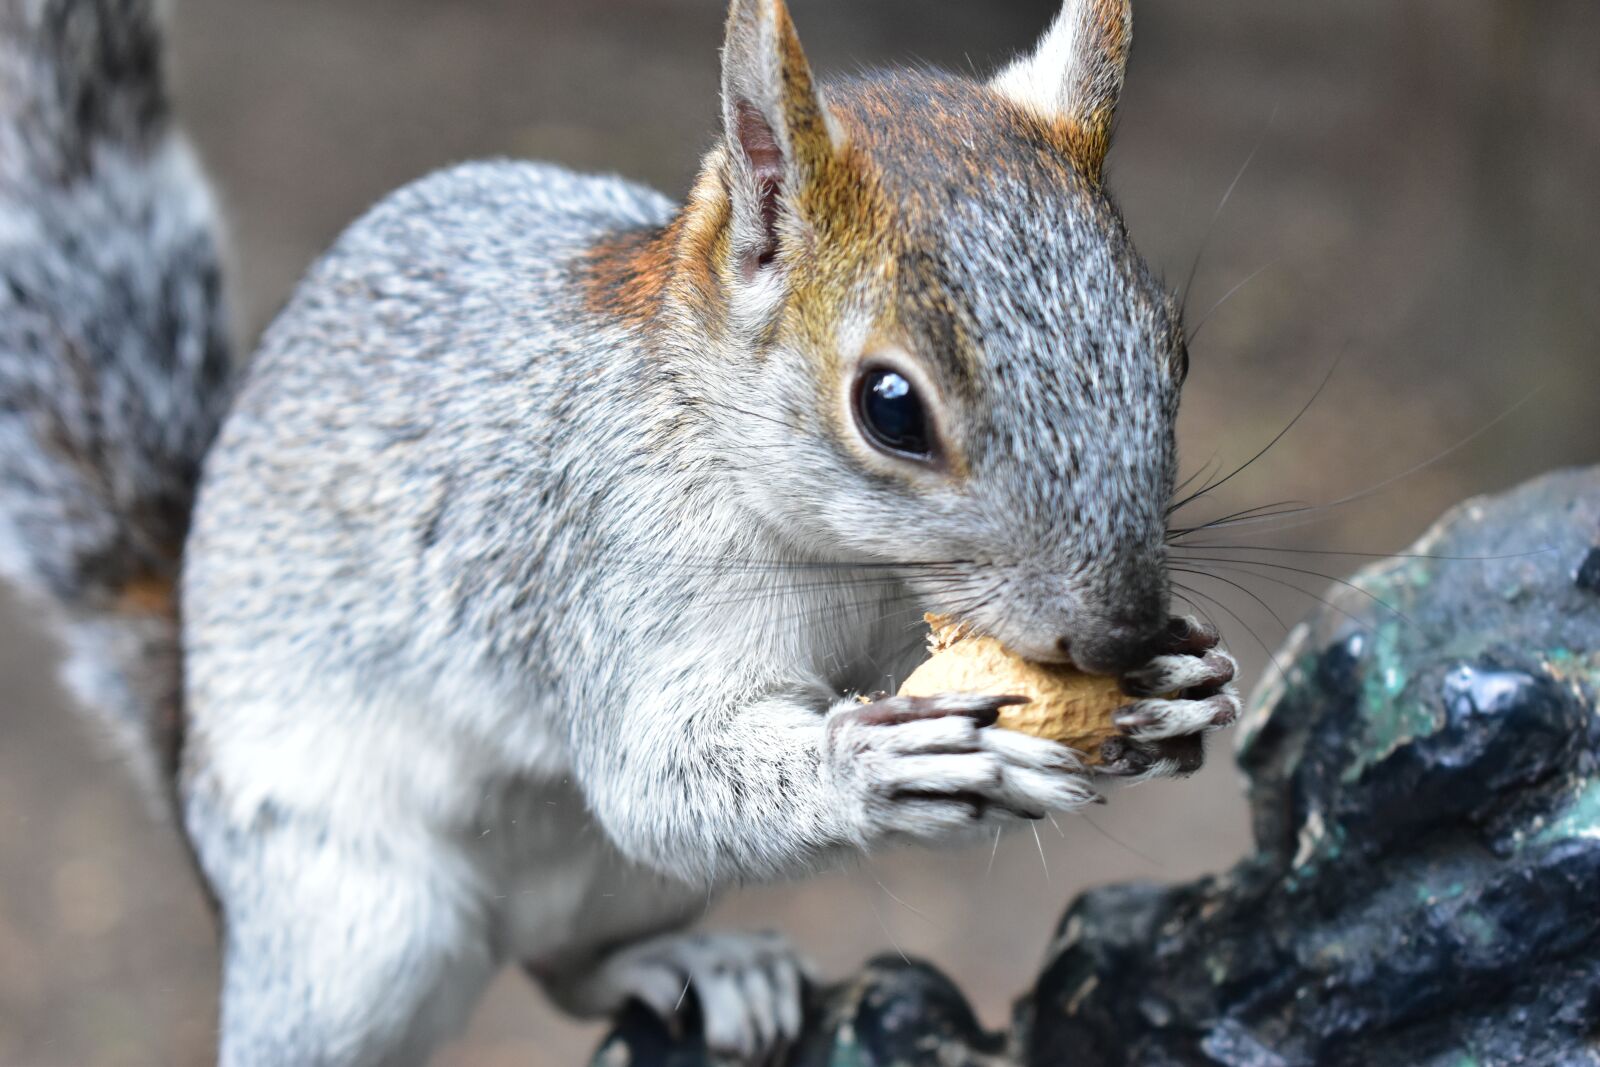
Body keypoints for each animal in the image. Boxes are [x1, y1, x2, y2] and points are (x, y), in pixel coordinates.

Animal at [0, 0, 1243, 1062]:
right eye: (889, 407)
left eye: (1173, 349)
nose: (1119, 630)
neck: (847, 563)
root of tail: (184, 743)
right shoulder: (608, 569)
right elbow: (656, 773)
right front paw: (876, 761)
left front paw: (1178, 687)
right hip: (359, 925)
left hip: (613, 888)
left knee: (568, 962)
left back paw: (699, 964)